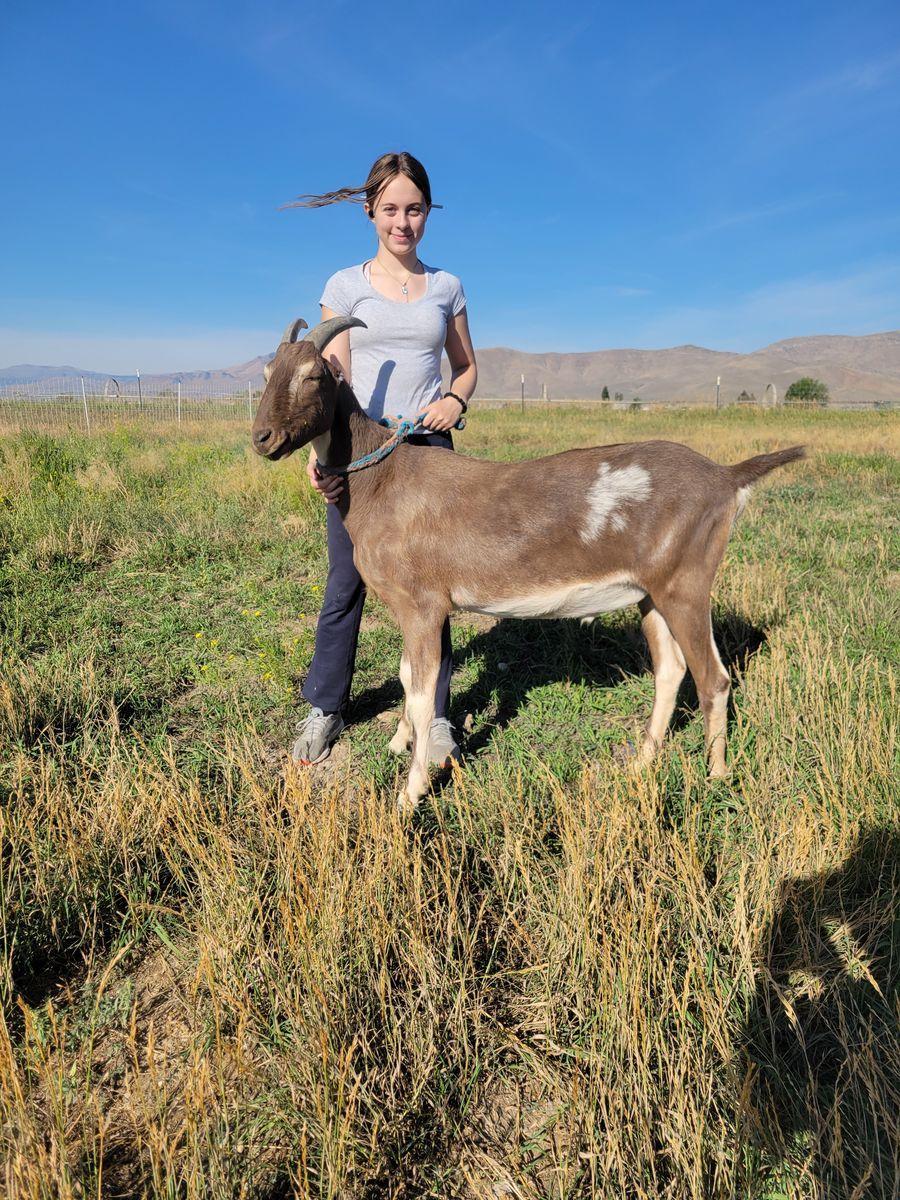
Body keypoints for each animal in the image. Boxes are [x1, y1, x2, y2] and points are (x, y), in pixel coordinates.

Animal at [253, 316, 805, 811]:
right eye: (267, 373)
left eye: (313, 375)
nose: (262, 437)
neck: (383, 481)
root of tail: (725, 477)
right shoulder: (413, 609)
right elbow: (409, 677)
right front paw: (398, 744)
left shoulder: (423, 605)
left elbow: (423, 691)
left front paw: (410, 794)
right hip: (652, 592)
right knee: (670, 669)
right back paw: (643, 761)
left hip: (686, 582)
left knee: (714, 679)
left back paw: (716, 777)